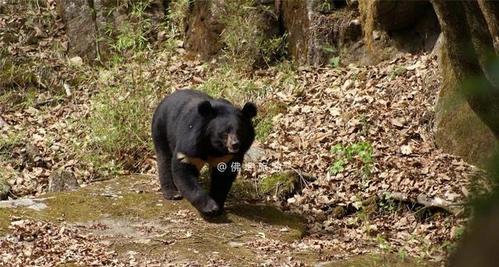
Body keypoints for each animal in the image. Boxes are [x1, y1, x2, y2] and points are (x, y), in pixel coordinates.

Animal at [152, 90, 258, 218]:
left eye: (240, 131)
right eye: (225, 132)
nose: (235, 145)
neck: (214, 146)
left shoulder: (226, 156)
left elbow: (223, 178)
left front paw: (218, 206)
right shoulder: (191, 140)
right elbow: (183, 168)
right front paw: (210, 208)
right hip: (161, 128)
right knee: (164, 158)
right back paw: (172, 193)